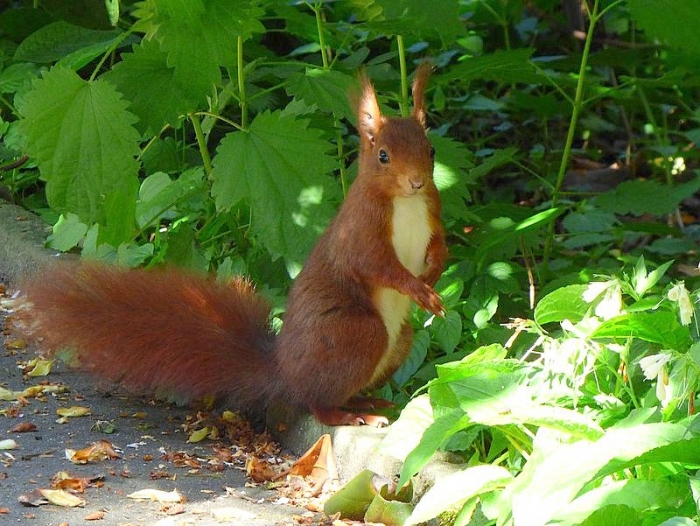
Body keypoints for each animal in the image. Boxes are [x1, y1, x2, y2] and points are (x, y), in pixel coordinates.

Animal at [19, 63, 447, 427]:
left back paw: (367, 401)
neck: (405, 202)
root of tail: (284, 373)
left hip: (398, 341)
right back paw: (352, 415)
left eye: (431, 150)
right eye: (383, 156)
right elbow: (375, 264)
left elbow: (440, 245)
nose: (417, 182)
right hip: (355, 335)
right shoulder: (359, 230)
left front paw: (435, 272)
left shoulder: (433, 211)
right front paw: (418, 289)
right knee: (317, 402)